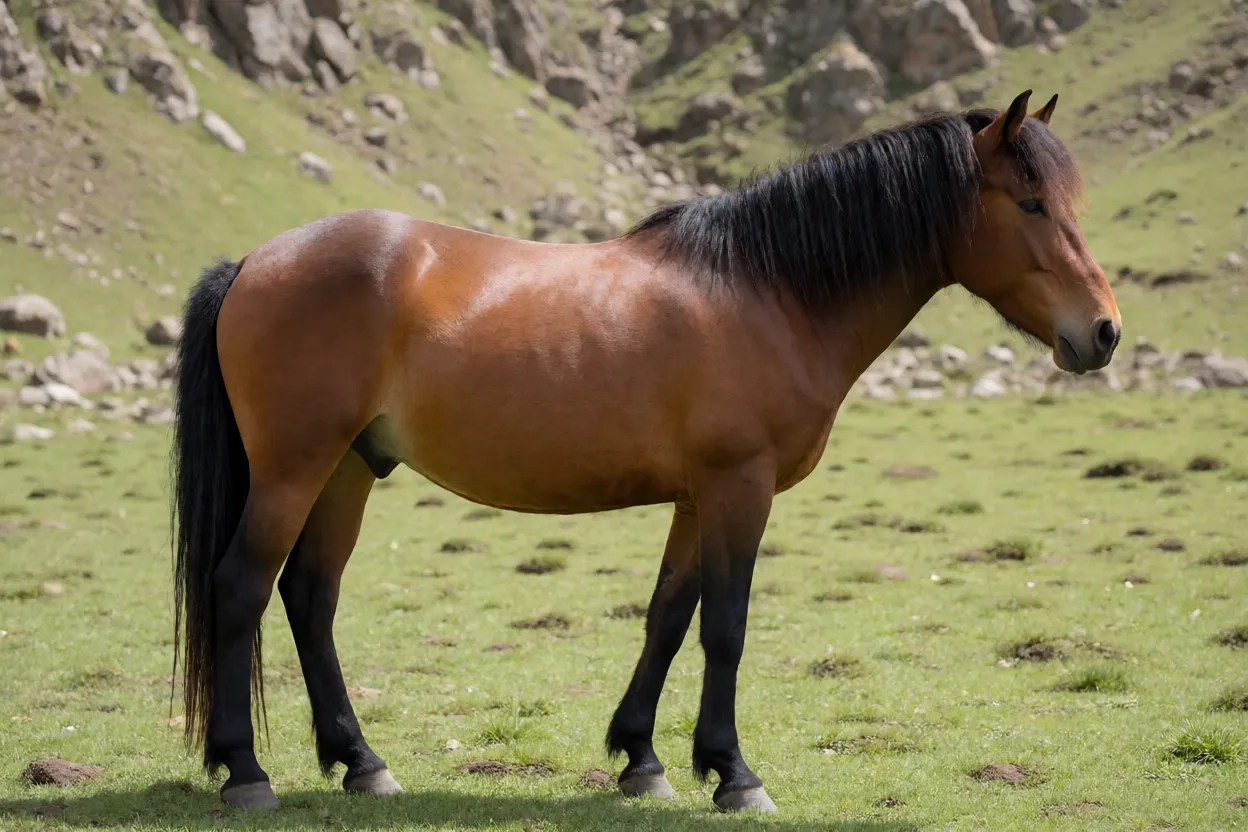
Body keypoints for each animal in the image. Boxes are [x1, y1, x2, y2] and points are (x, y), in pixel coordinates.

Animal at [168, 89, 1120, 813]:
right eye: (1030, 204)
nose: (1104, 333)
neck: (770, 291)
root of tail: (255, 262)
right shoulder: (740, 489)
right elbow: (726, 627)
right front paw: (735, 775)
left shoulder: (698, 498)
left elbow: (668, 616)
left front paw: (643, 759)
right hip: (294, 470)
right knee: (242, 587)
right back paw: (246, 773)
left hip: (347, 471)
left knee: (309, 597)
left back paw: (362, 763)